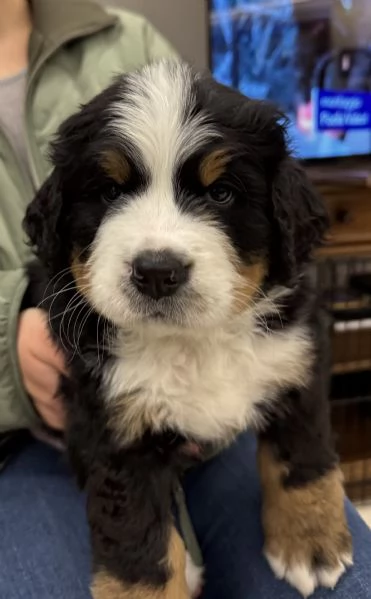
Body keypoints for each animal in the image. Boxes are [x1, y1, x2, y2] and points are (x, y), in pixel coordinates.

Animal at [21, 57, 354, 599]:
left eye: (221, 192)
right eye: (109, 191)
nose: (157, 271)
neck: (192, 343)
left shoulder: (296, 353)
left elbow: (301, 454)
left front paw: (311, 544)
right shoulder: (114, 429)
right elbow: (139, 548)